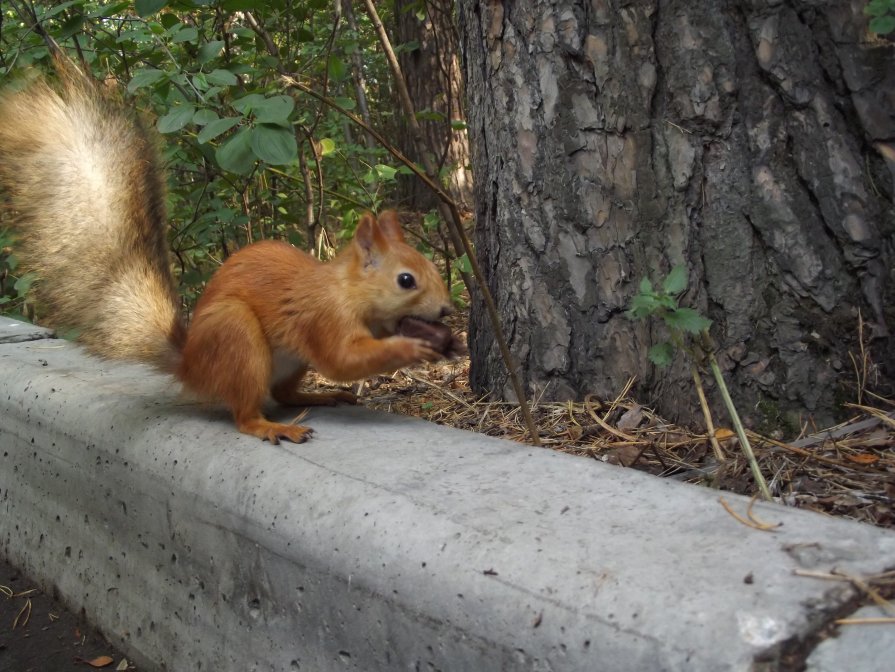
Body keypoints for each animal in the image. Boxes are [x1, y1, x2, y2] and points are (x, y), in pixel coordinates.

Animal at [0, 61, 458, 440]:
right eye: (405, 280)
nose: (445, 310)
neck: (346, 290)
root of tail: (190, 365)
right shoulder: (322, 317)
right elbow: (342, 360)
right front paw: (411, 349)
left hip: (289, 362)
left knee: (283, 394)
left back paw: (318, 397)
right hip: (235, 337)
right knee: (244, 412)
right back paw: (272, 427)